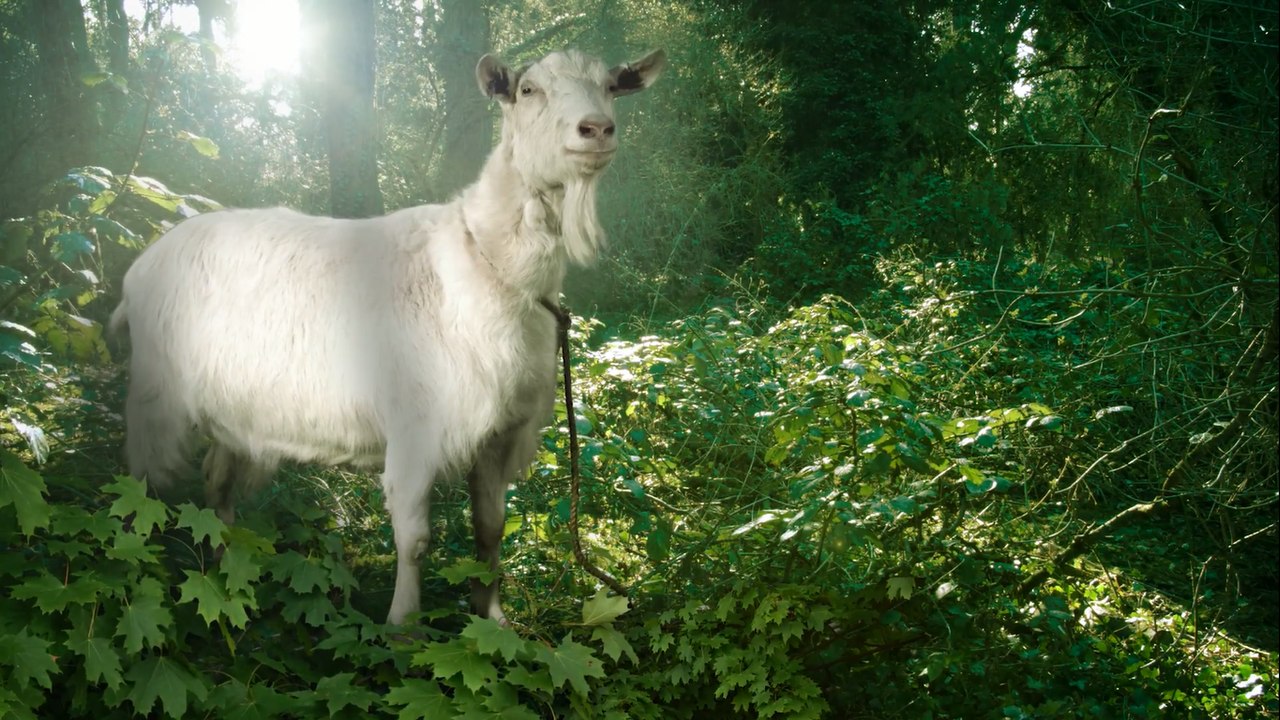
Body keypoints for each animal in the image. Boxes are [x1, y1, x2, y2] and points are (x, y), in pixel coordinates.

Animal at [110, 48, 666, 625]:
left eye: (610, 86)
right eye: (529, 90)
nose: (596, 129)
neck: (486, 266)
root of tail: (141, 268)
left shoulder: (500, 432)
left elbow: (489, 530)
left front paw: (492, 618)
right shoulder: (416, 426)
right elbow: (414, 539)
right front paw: (402, 623)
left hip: (232, 409)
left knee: (215, 479)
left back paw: (223, 566)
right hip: (155, 392)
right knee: (139, 484)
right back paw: (132, 565)